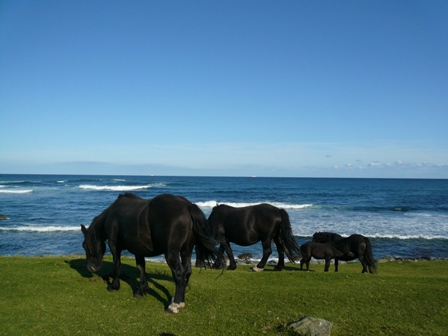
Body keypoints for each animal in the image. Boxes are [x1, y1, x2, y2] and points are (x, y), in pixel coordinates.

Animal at [83, 193, 220, 314]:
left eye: (86, 245)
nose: (91, 268)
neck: (112, 214)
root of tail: (187, 206)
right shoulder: (138, 249)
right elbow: (141, 268)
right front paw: (142, 290)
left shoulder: (114, 245)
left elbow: (117, 265)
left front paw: (114, 286)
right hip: (186, 250)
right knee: (187, 272)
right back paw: (180, 301)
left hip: (171, 253)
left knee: (179, 275)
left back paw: (173, 305)